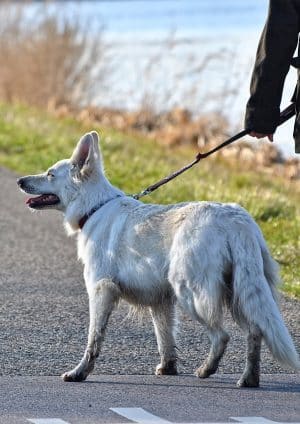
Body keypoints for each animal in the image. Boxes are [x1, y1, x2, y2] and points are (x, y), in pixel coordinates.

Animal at [17, 132, 298, 388]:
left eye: (50, 174)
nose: (20, 180)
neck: (95, 207)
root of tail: (236, 219)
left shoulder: (101, 291)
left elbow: (93, 339)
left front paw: (80, 372)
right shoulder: (160, 301)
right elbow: (165, 338)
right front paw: (168, 368)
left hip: (192, 293)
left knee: (222, 336)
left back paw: (206, 370)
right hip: (239, 292)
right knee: (255, 331)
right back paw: (249, 378)